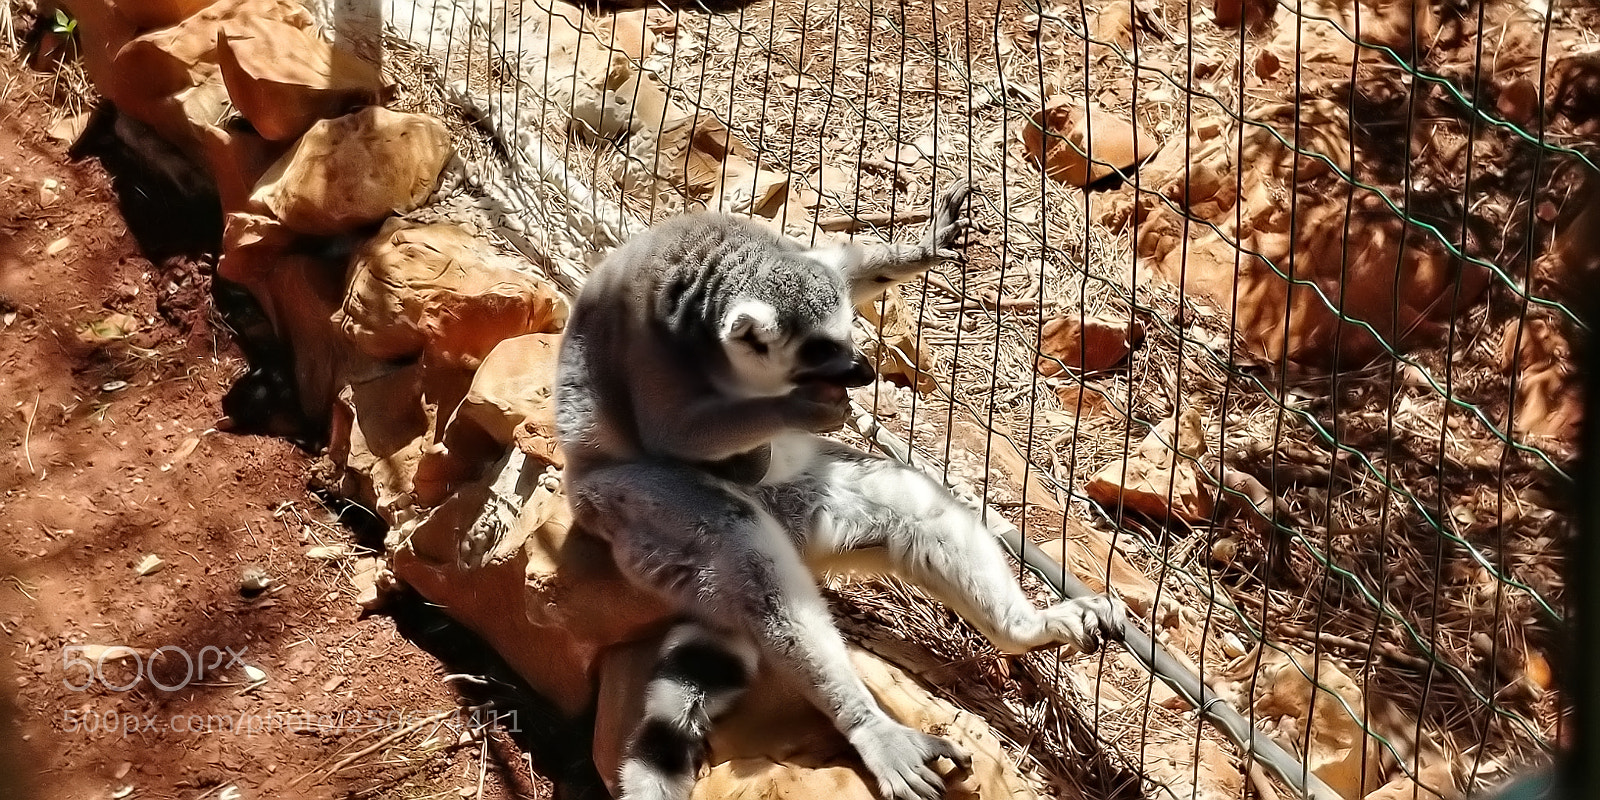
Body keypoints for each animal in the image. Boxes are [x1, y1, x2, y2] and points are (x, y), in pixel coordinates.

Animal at [555, 180, 1126, 800]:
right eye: (819, 351)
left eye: (844, 335)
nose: (862, 371)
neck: (704, 282)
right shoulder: (649, 346)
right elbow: (669, 431)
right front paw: (800, 408)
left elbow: (839, 266)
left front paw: (921, 246)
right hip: (631, 507)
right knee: (739, 542)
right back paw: (869, 726)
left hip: (802, 502)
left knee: (909, 506)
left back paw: (1024, 628)